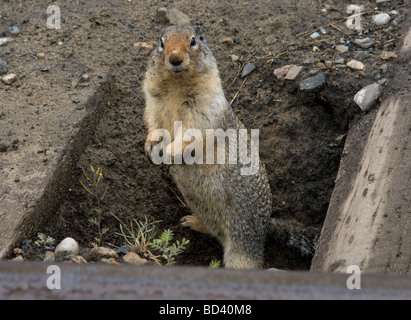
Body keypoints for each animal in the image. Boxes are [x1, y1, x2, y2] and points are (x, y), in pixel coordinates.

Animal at [142, 25, 316, 268]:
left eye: (193, 40)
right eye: (161, 42)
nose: (175, 58)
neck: (177, 85)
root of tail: (265, 227)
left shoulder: (205, 111)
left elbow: (192, 134)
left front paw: (169, 151)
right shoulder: (153, 104)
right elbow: (153, 124)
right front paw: (150, 145)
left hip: (241, 239)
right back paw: (190, 221)